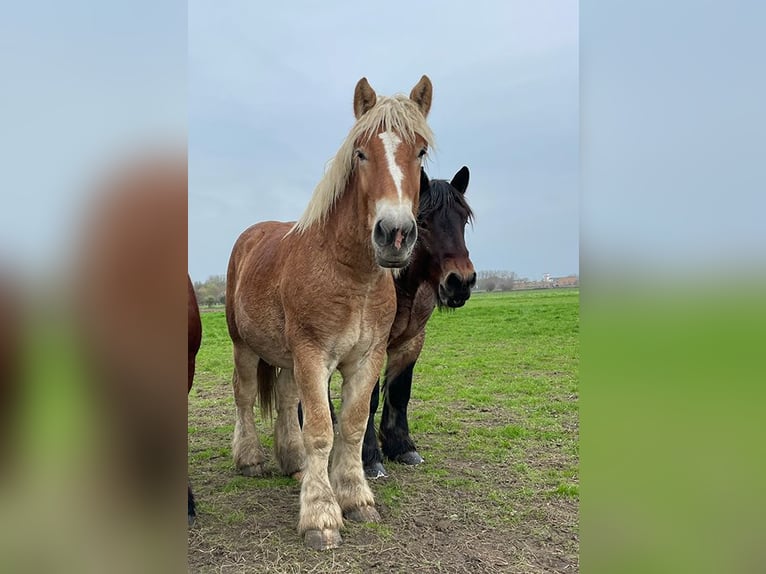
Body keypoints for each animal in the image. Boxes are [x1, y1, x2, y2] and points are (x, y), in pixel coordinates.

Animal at [225, 77, 436, 552]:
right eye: (360, 153)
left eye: (420, 152)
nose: (395, 233)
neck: (349, 275)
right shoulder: (312, 355)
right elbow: (321, 431)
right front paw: (320, 515)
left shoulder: (366, 359)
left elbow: (353, 427)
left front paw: (356, 498)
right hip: (245, 346)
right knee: (245, 397)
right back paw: (250, 459)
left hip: (285, 358)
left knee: (286, 401)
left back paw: (294, 463)